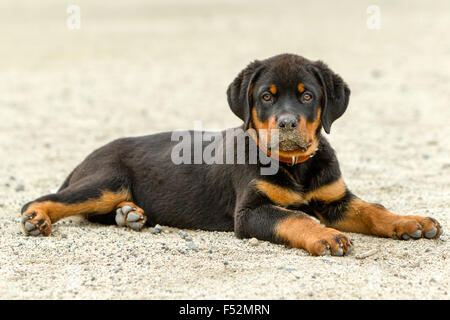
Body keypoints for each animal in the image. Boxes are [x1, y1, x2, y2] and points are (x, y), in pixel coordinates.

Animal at [21, 53, 442, 256]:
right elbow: (294, 218)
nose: (287, 123)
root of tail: (87, 157)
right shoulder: (251, 212)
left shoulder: (334, 198)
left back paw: (130, 215)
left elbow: (374, 210)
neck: (296, 168)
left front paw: (411, 222)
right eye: (266, 97)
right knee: (45, 199)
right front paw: (325, 236)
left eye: (307, 95)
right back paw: (36, 219)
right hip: (107, 180)